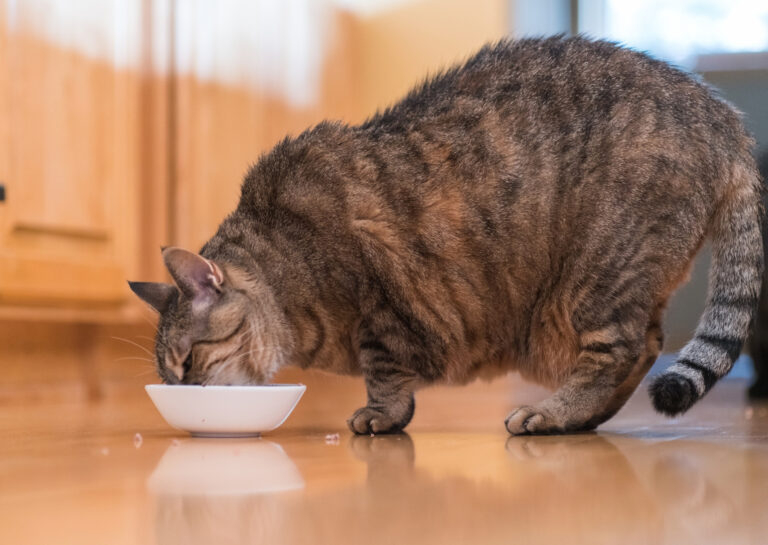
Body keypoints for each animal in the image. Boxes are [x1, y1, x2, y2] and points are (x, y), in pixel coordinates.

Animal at [129, 35, 760, 434]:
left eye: (188, 361)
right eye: (169, 375)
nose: (186, 393)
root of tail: (720, 113)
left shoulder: (380, 306)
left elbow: (383, 372)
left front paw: (381, 416)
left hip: (595, 277)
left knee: (623, 351)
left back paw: (554, 413)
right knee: (646, 346)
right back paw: (581, 417)